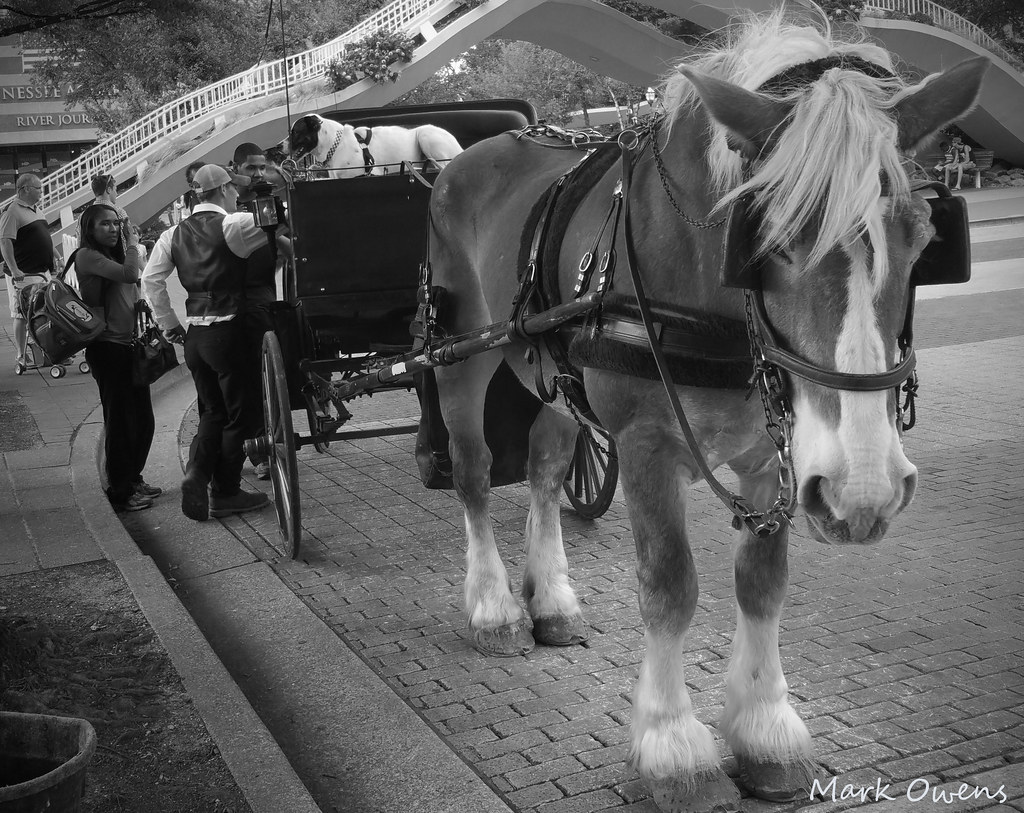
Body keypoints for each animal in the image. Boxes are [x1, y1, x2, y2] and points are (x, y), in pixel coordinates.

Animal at [424, 11, 987, 813]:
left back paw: (552, 598)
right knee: (473, 472)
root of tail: (469, 153)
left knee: (543, 470)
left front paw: (765, 728)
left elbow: (763, 583)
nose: (865, 493)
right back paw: (493, 606)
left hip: (554, 372)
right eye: (766, 239)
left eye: (924, 235)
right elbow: (669, 586)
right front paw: (672, 748)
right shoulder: (646, 445)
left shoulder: (773, 453)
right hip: (462, 355)